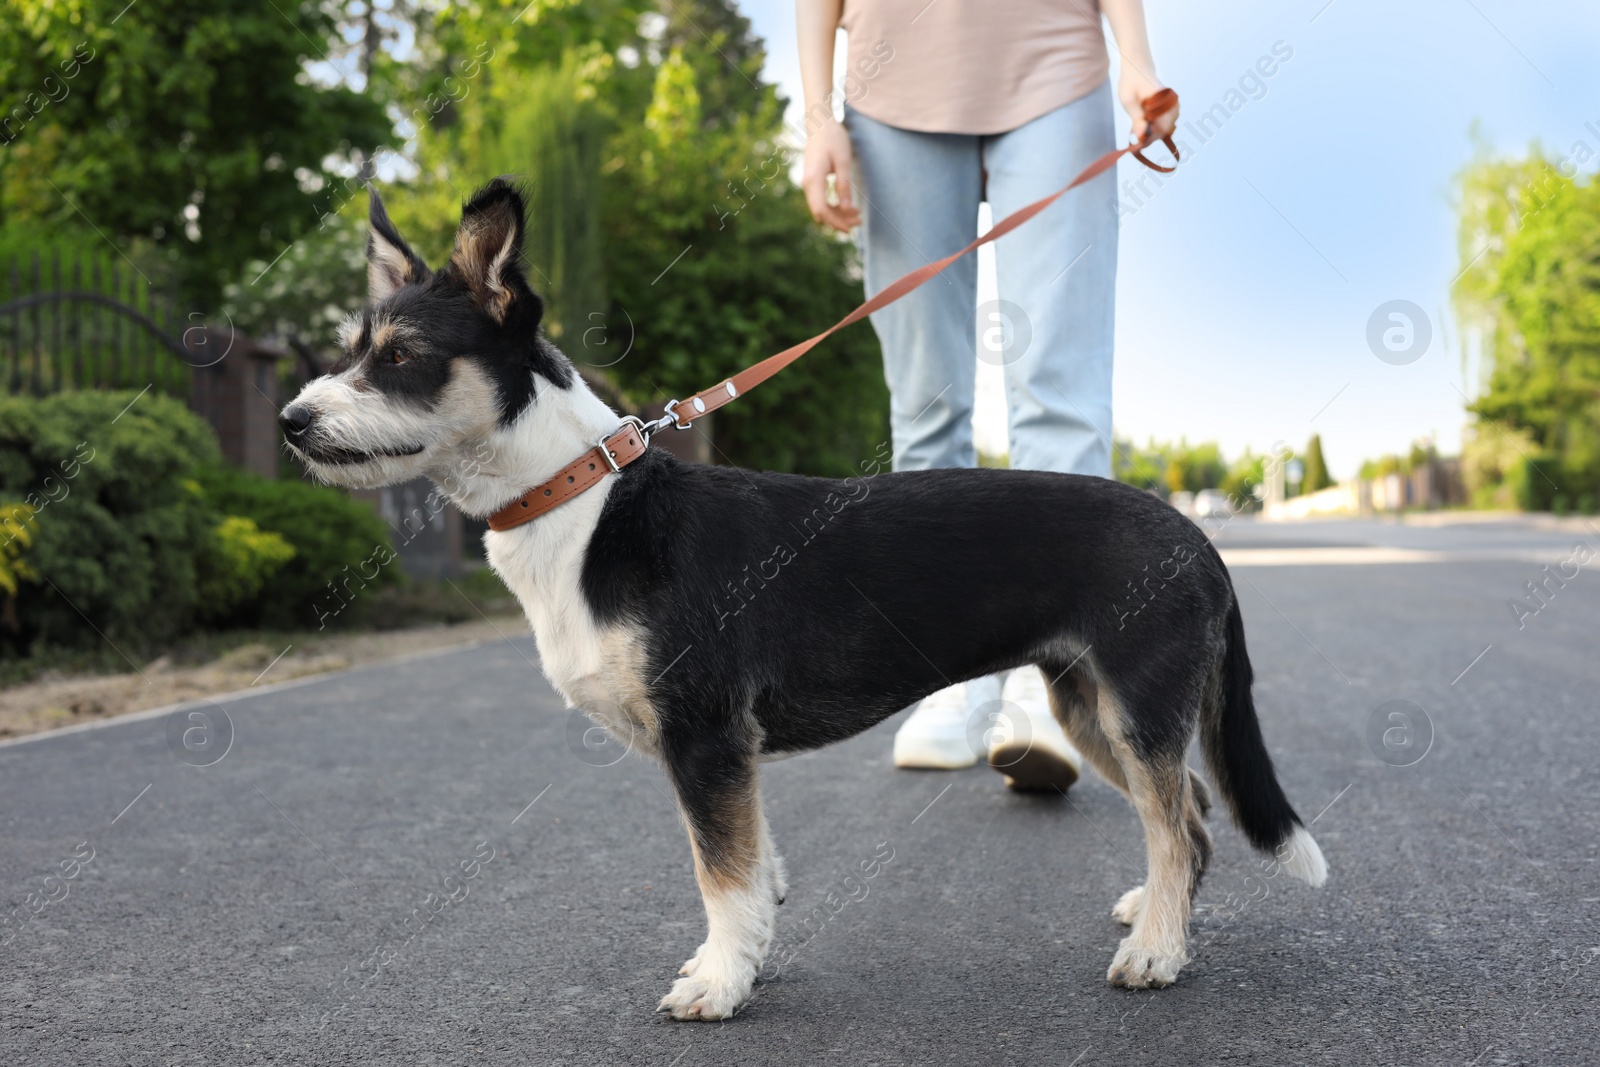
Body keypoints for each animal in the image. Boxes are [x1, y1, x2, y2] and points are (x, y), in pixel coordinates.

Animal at [281, 179, 1331, 1023]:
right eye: (350, 349)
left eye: (402, 355)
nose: (293, 420)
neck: (582, 503)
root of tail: (1196, 538)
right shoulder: (726, 751)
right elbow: (749, 870)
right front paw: (740, 954)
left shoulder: (705, 735)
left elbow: (722, 873)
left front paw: (720, 982)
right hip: (1089, 706)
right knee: (1191, 814)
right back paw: (1156, 912)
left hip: (1137, 704)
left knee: (1178, 819)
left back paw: (1156, 949)